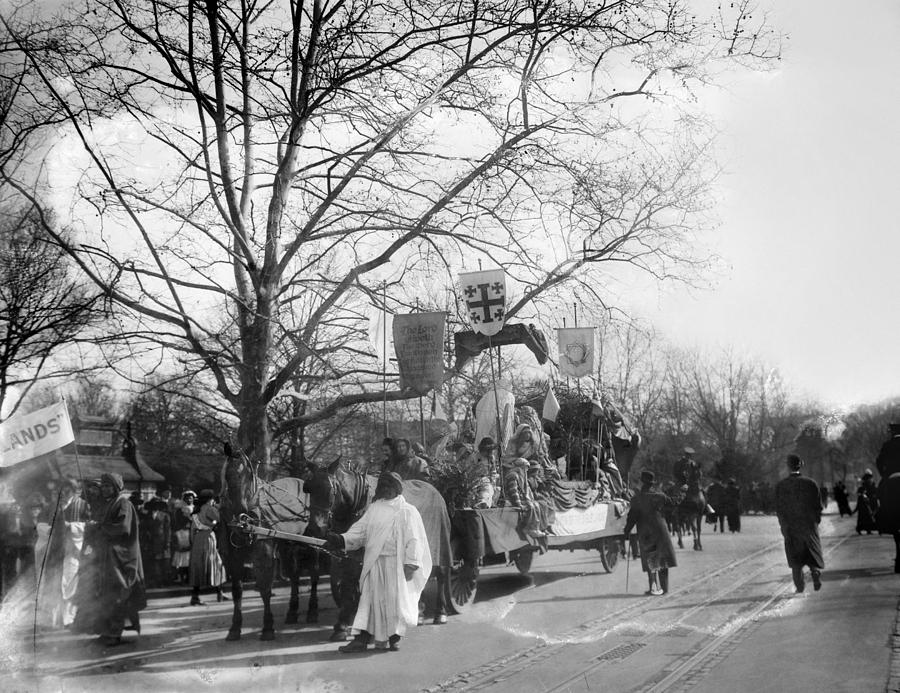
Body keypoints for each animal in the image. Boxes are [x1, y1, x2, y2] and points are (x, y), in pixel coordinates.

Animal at [220, 444, 326, 636]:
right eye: (227, 474)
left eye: (247, 474)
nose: (241, 510)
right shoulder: (232, 556)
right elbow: (237, 590)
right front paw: (235, 627)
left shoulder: (263, 552)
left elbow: (264, 587)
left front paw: (268, 626)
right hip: (288, 545)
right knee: (294, 574)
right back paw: (292, 612)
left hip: (313, 540)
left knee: (314, 572)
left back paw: (312, 611)